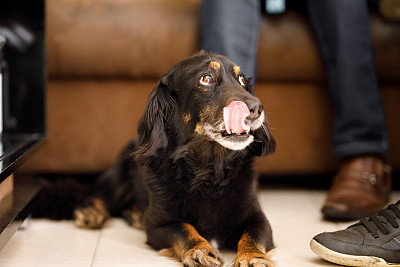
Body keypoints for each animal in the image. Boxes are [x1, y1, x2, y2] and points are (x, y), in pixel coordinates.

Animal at [73, 52, 276, 267]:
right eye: (206, 79)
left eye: (242, 80)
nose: (258, 108)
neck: (208, 172)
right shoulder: (157, 225)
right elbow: (184, 228)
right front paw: (200, 250)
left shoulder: (258, 219)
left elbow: (253, 235)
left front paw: (253, 257)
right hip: (118, 182)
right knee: (95, 195)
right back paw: (92, 213)